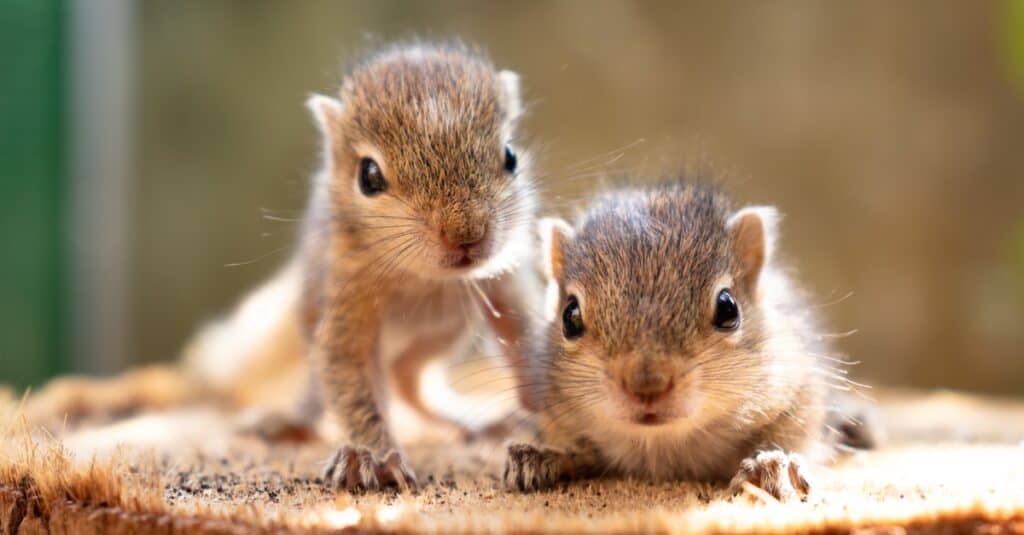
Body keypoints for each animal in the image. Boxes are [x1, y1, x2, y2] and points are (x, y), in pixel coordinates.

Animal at [189, 43, 540, 489]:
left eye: (510, 156)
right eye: (368, 176)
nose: (467, 234)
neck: (425, 278)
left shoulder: (506, 280)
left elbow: (524, 337)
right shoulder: (348, 292)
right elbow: (351, 380)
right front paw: (374, 457)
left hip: (440, 335)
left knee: (410, 381)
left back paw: (475, 421)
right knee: (330, 393)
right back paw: (289, 421)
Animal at [503, 180, 856, 500]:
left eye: (728, 308)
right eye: (570, 317)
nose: (647, 386)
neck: (659, 444)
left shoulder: (800, 393)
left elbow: (794, 438)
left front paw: (772, 464)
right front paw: (538, 456)